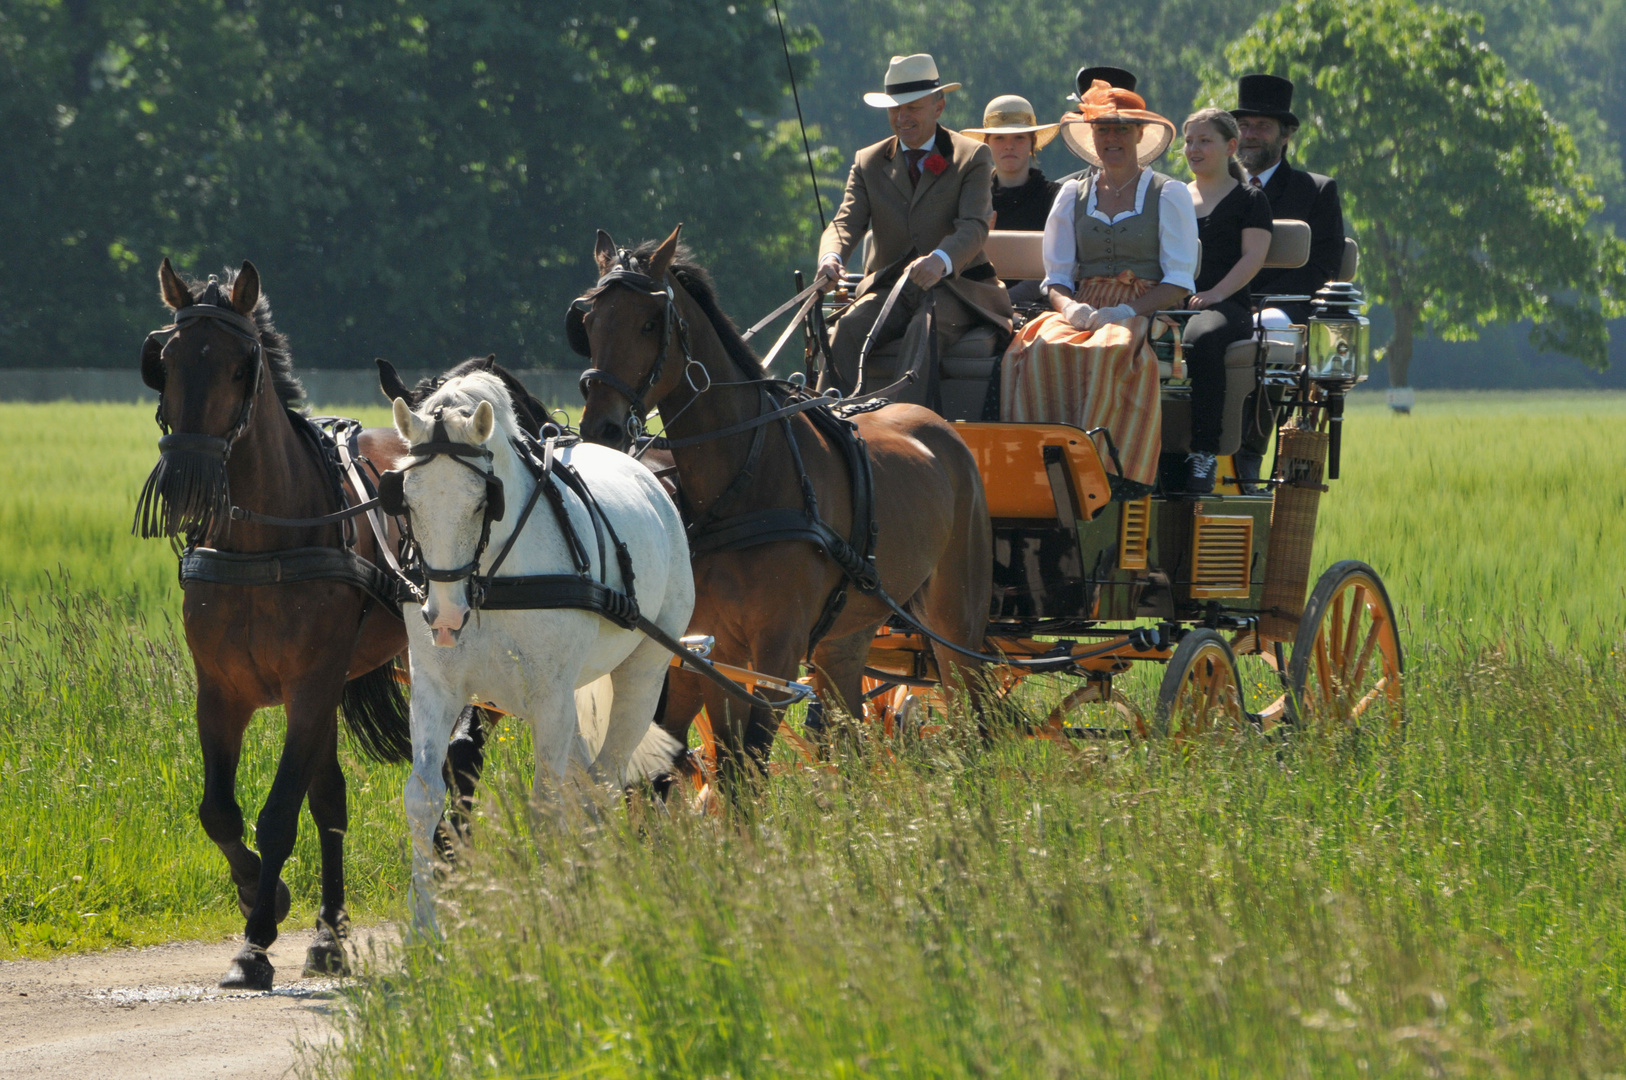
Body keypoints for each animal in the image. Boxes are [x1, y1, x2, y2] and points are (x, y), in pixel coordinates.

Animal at [137, 260, 413, 988]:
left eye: (241, 368)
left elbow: (279, 813)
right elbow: (220, 811)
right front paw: (266, 897)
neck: (262, 545)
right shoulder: (220, 692)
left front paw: (256, 939)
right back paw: (329, 934)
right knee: (333, 802)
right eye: (164, 363)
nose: (185, 479)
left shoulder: (309, 687)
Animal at [395, 370, 699, 930]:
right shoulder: (434, 689)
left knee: (602, 780)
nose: (443, 617)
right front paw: (424, 928)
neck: (490, 581)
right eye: (406, 500)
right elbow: (423, 798)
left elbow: (546, 803)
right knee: (586, 779)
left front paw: (548, 908)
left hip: (641, 674)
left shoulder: (550, 698)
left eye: (482, 501)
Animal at [578, 227, 995, 783]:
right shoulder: (716, 646)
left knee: (977, 714)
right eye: (588, 321)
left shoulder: (778, 646)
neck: (745, 482)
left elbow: (751, 755)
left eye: (649, 323)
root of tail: (942, 428)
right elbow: (733, 765)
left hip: (955, 619)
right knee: (851, 733)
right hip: (845, 640)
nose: (599, 429)